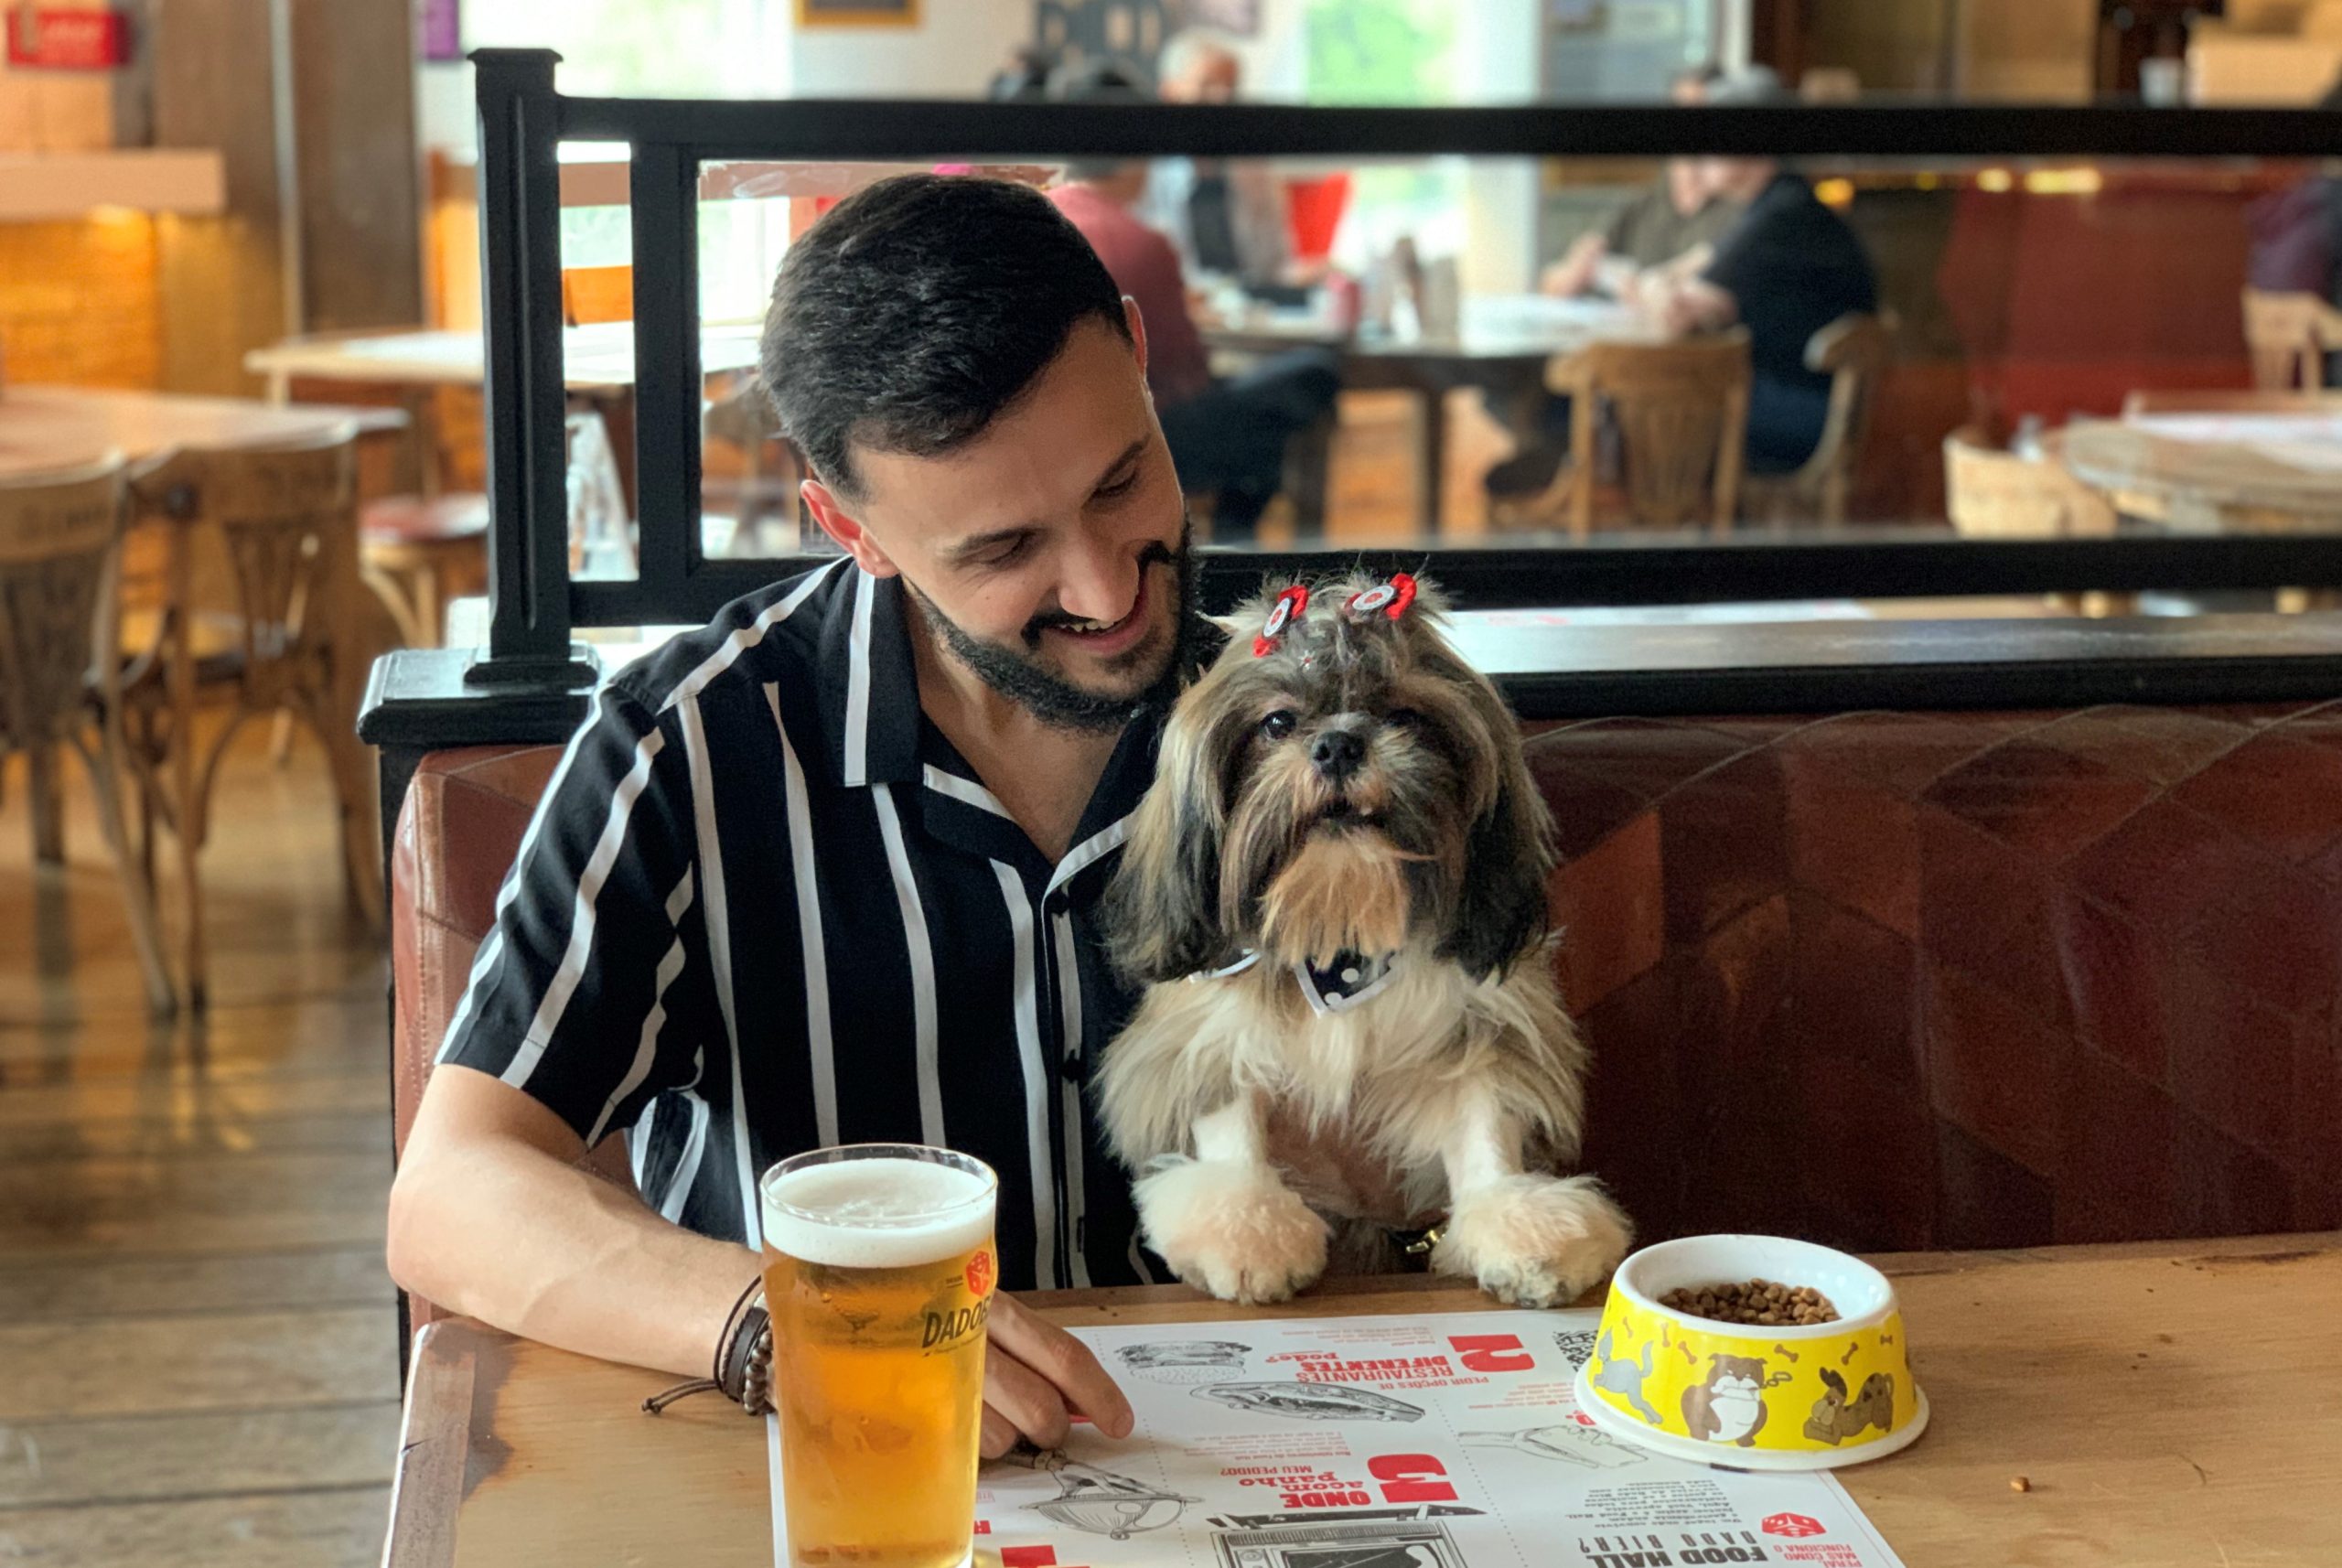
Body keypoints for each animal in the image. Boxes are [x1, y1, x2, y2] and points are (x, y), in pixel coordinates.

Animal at [1101, 577, 1629, 1310]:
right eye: (1277, 724)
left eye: (1405, 715)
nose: (1339, 745)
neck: (1340, 929)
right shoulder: (1207, 1035)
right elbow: (1229, 1119)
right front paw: (1244, 1229)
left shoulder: (1476, 1027)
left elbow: (1485, 1125)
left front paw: (1521, 1224)